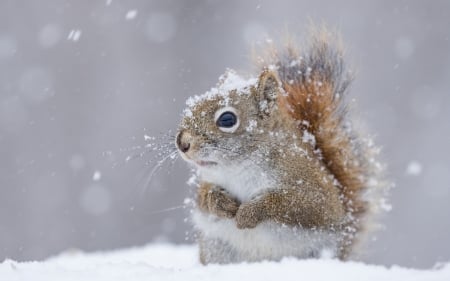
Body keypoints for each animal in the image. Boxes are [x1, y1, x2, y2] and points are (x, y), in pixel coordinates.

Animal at [176, 27, 386, 264]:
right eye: (193, 105)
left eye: (227, 119)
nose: (182, 142)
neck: (238, 167)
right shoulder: (209, 181)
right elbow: (203, 198)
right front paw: (221, 203)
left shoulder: (313, 188)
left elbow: (299, 204)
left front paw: (248, 213)